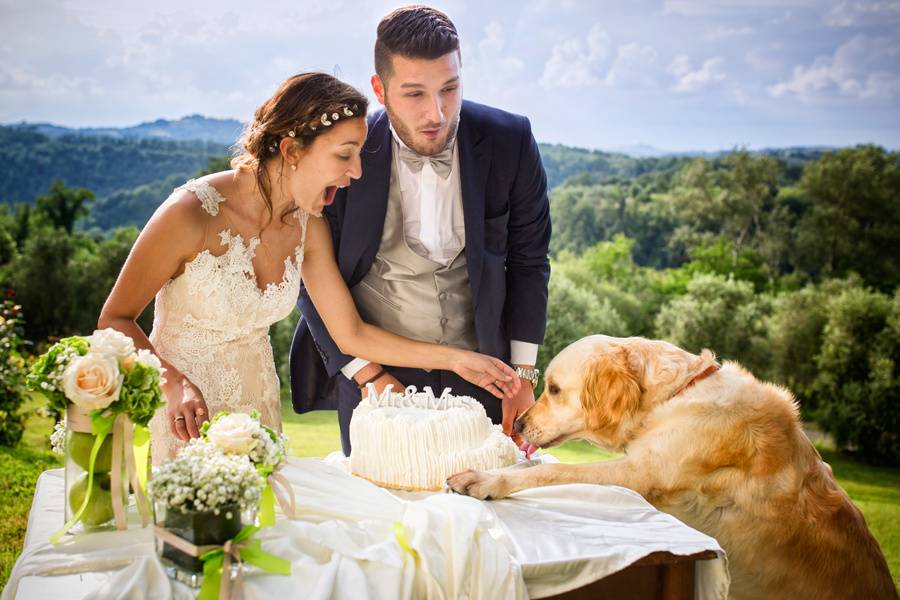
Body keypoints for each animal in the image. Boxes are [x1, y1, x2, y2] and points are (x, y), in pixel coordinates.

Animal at [446, 336, 896, 600]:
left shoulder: (640, 473)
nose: (519, 423)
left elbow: (548, 472)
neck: (674, 396)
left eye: (554, 389)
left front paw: (485, 479)